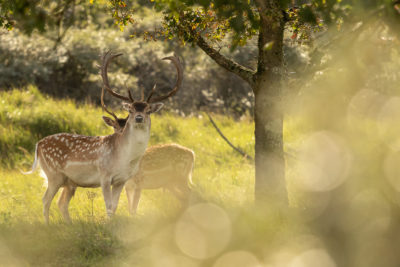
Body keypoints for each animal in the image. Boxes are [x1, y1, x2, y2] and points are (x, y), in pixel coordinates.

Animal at [23, 52, 183, 224]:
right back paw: (47, 225)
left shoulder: (122, 180)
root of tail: (38, 144)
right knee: (45, 199)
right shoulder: (104, 175)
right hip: (53, 174)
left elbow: (115, 205)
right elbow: (108, 205)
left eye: (148, 110)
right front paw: (107, 224)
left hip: (69, 182)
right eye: (131, 110)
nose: (139, 118)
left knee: (61, 202)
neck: (124, 159)